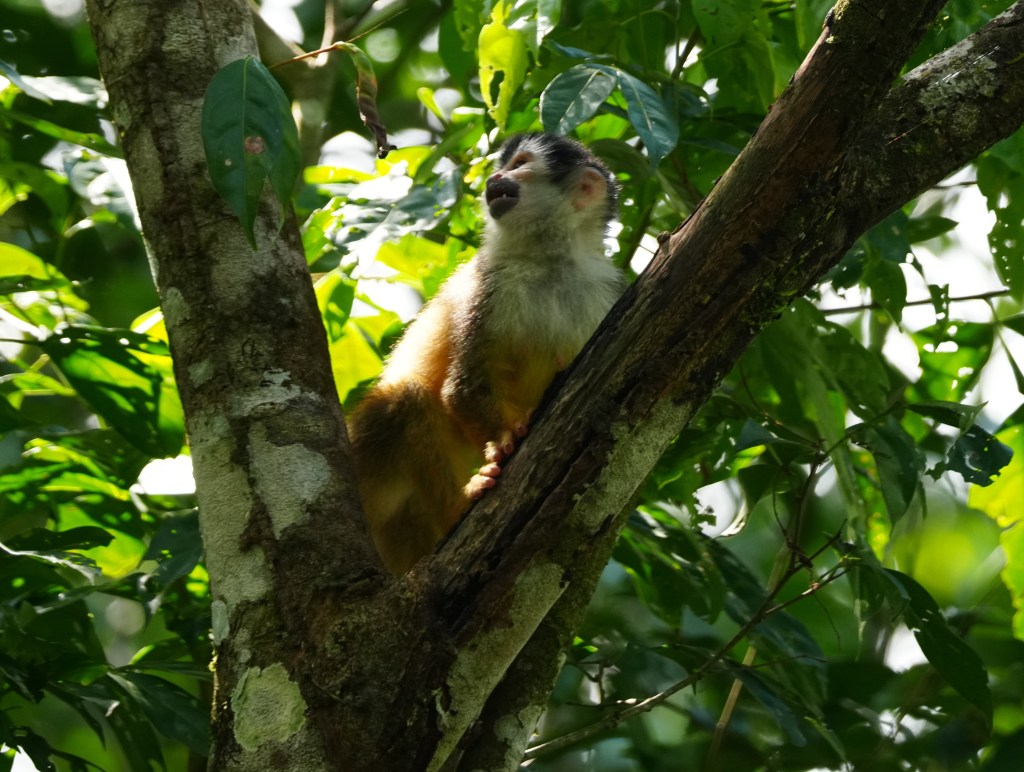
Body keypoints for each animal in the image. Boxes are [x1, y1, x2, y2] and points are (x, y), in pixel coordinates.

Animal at [347, 133, 623, 574]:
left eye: (520, 164)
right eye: (503, 165)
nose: (494, 177)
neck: (550, 261)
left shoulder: (606, 295)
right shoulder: (488, 282)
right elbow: (464, 387)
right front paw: (506, 437)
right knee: (405, 399)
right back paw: (457, 510)